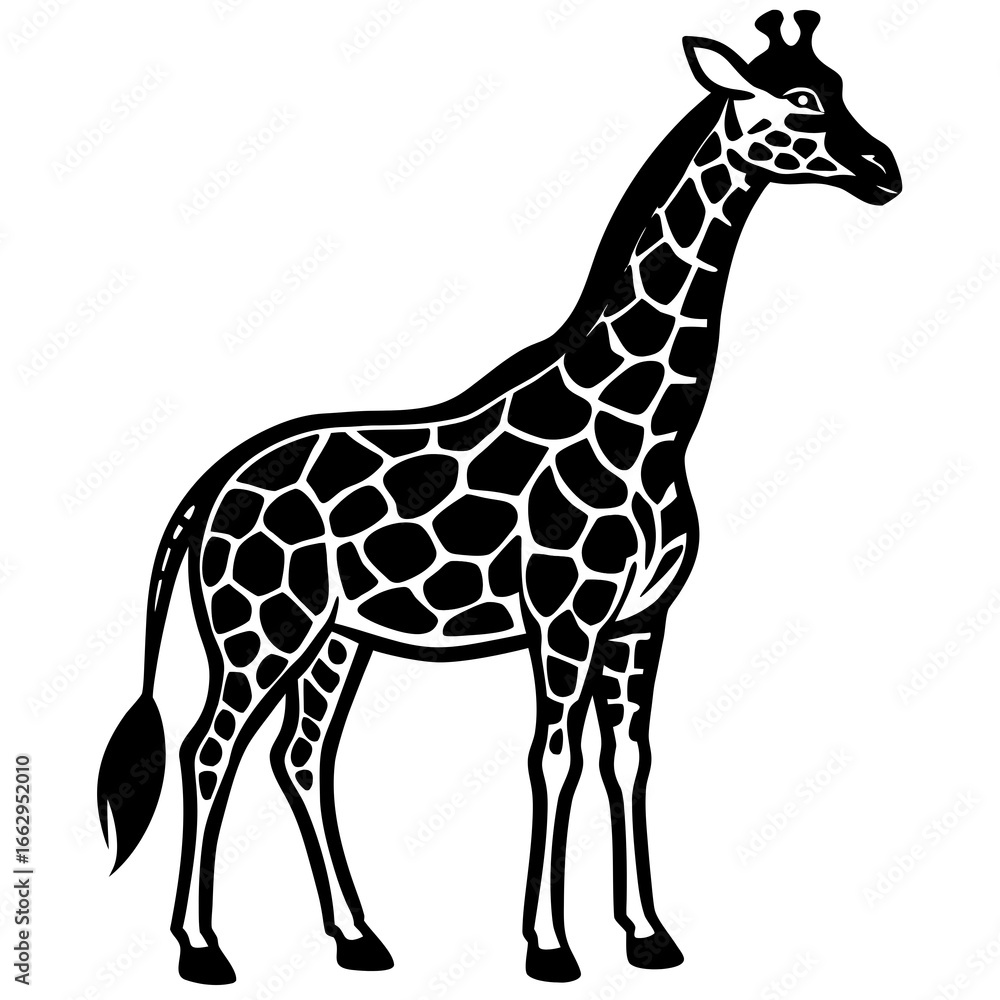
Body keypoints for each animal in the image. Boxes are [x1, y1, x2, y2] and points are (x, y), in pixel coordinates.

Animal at [97, 11, 901, 985]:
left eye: (842, 86)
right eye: (803, 99)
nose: (885, 170)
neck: (646, 424)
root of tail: (210, 485)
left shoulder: (641, 620)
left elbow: (627, 759)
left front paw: (648, 936)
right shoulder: (566, 616)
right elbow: (552, 760)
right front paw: (550, 948)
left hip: (336, 640)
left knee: (301, 758)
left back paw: (358, 939)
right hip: (262, 630)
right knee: (207, 751)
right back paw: (203, 949)